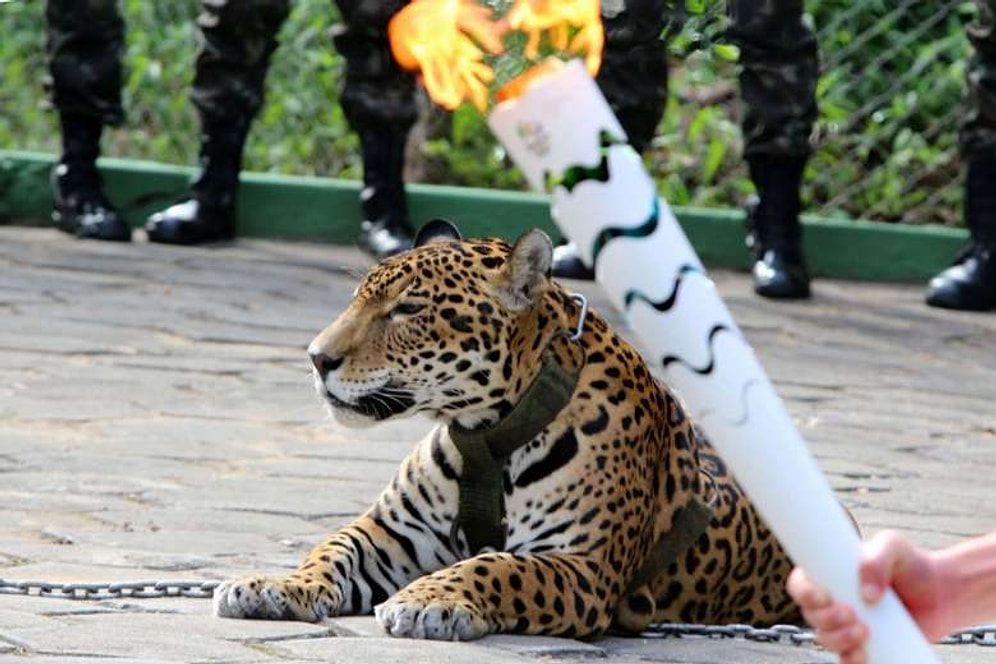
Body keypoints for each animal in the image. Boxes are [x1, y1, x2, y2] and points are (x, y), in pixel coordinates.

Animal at [213, 220, 802, 641]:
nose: (317, 358)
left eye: (408, 309)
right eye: (359, 298)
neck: (486, 433)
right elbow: (331, 549)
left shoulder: (582, 565)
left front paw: (427, 600)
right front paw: (275, 584)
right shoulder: (393, 532)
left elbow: (496, 565)